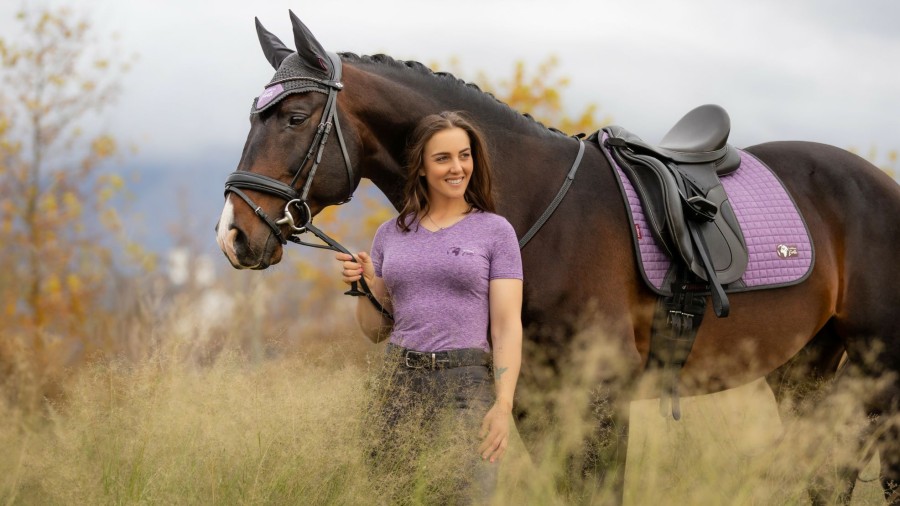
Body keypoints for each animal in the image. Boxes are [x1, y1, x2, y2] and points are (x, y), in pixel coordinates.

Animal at [216, 10, 900, 502]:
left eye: (295, 116)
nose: (234, 236)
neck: (535, 209)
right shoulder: (533, 400)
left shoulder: (601, 397)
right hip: (807, 370)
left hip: (875, 374)